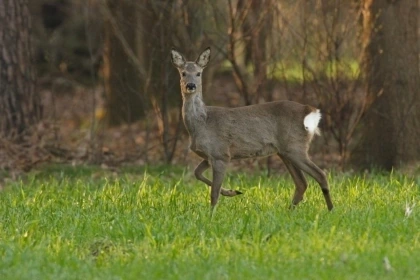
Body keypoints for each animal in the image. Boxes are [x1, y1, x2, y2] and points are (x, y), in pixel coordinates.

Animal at [169, 47, 334, 210]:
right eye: (183, 73)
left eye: (198, 73)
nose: (191, 85)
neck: (202, 123)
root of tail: (310, 111)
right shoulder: (210, 156)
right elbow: (197, 173)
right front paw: (233, 192)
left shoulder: (221, 153)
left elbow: (214, 193)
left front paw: (212, 214)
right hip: (284, 151)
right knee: (301, 183)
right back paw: (290, 210)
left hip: (295, 147)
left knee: (320, 174)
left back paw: (330, 209)